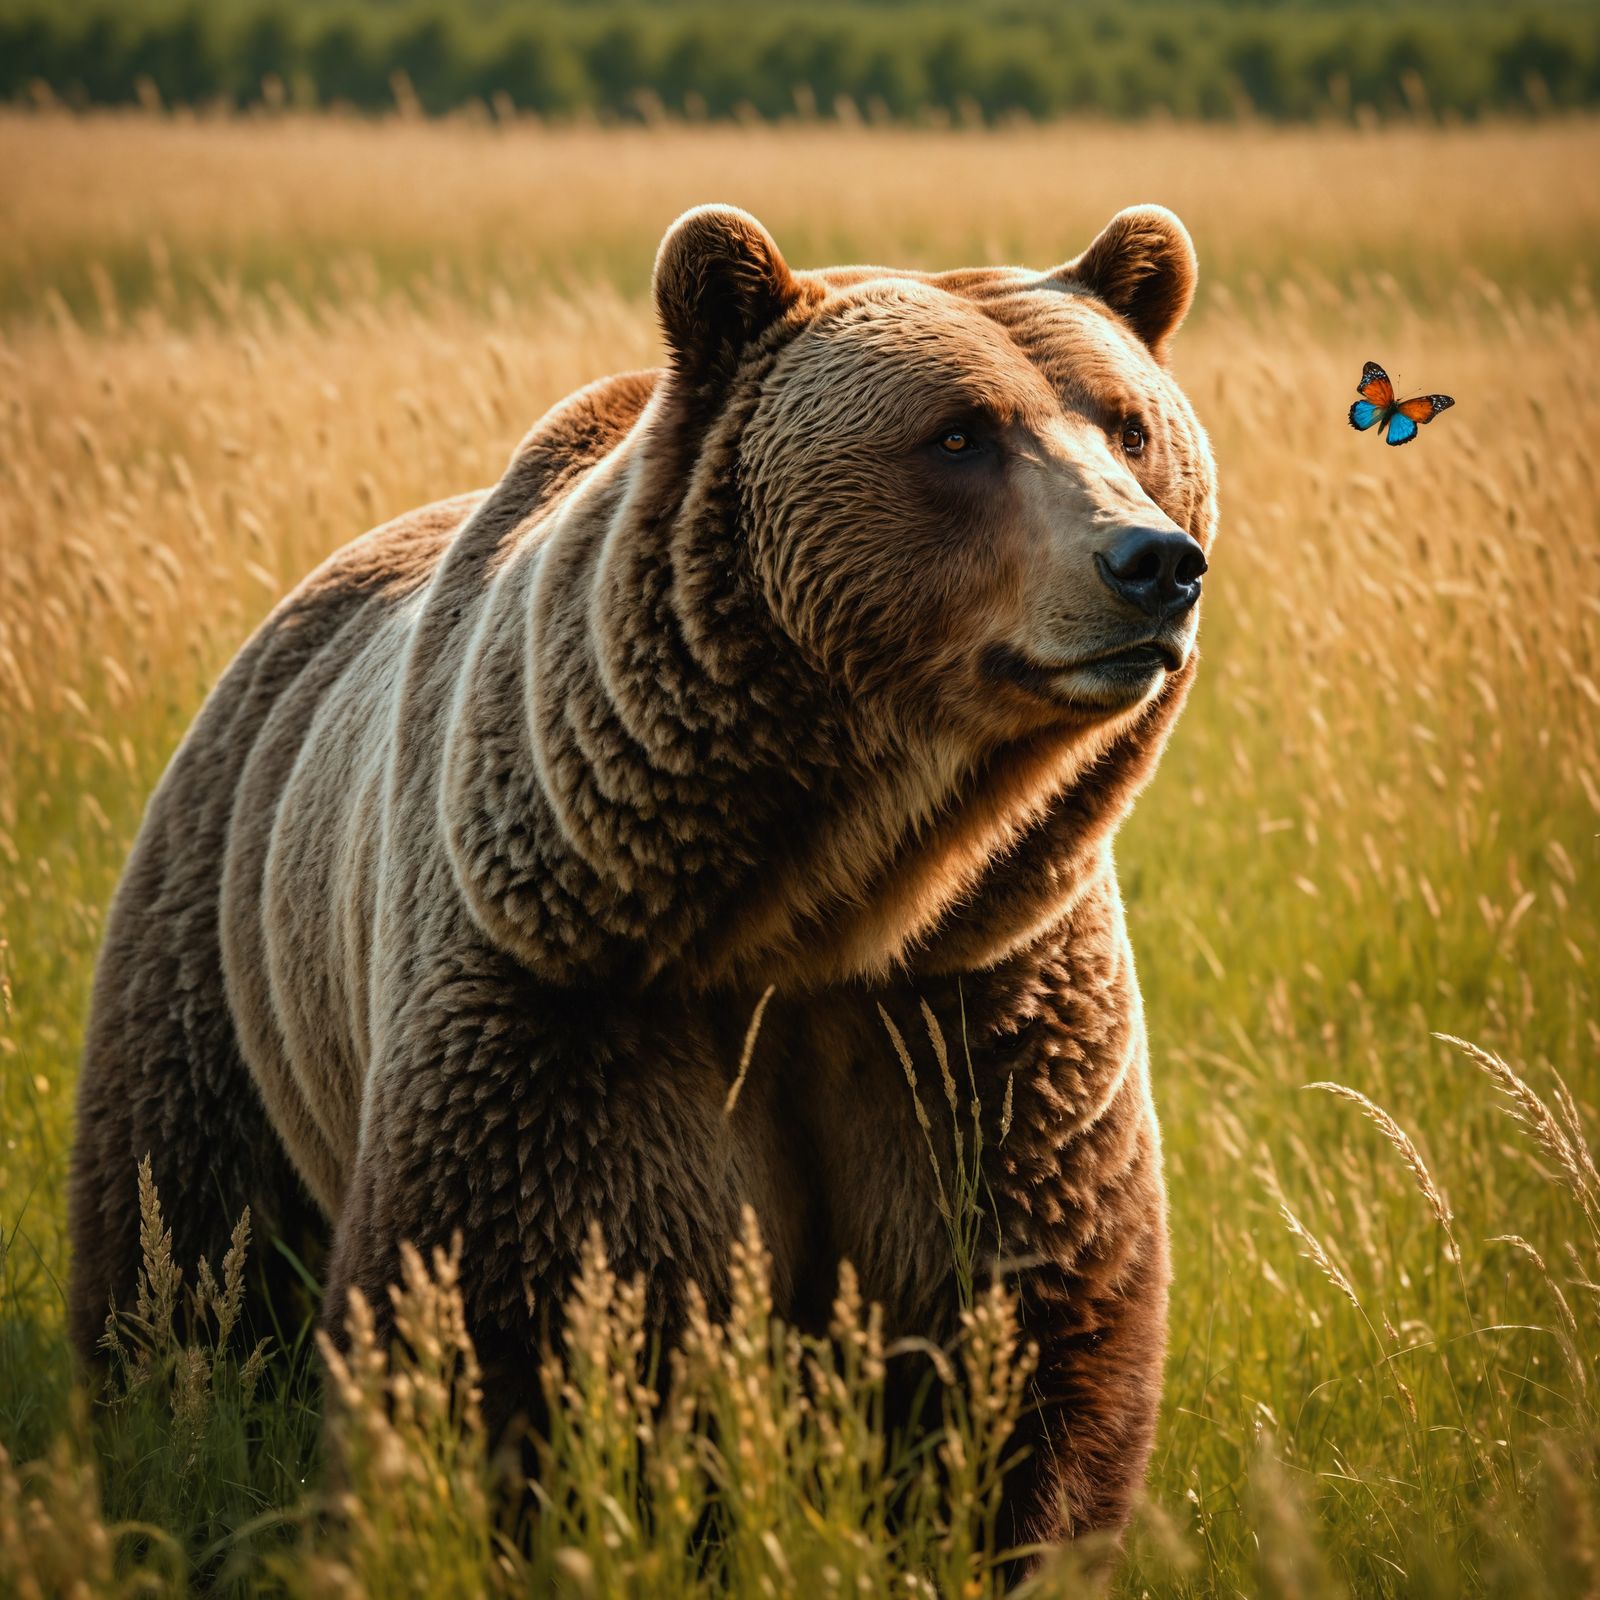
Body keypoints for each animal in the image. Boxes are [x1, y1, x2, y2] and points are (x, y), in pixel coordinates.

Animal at [68, 202, 1216, 1552]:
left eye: (1129, 424)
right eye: (958, 432)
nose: (1150, 561)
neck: (821, 897)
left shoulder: (980, 1002)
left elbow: (1027, 1336)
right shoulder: (566, 993)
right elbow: (503, 1321)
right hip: (218, 946)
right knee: (186, 1245)